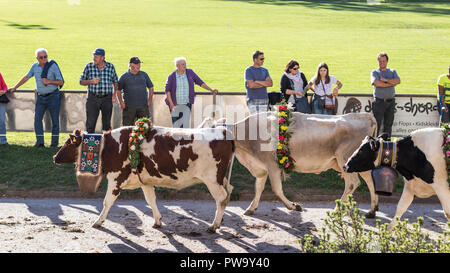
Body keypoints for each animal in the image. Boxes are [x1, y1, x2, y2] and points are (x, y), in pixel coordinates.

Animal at [53, 125, 236, 232]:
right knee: (229, 192)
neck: (110, 146)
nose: (54, 157)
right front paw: (157, 221)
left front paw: (99, 221)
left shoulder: (116, 179)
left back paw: (214, 225)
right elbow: (151, 200)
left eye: (68, 143)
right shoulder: (145, 181)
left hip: (212, 179)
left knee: (221, 198)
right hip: (221, 178)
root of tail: (223, 130)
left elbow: (107, 202)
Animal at [204, 110, 380, 217]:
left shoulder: (272, 165)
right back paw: (372, 210)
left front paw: (294, 206)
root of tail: (365, 116)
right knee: (370, 180)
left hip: (344, 159)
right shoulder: (261, 167)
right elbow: (258, 187)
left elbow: (276, 189)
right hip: (357, 162)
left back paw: (337, 209)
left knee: (352, 183)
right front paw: (251, 208)